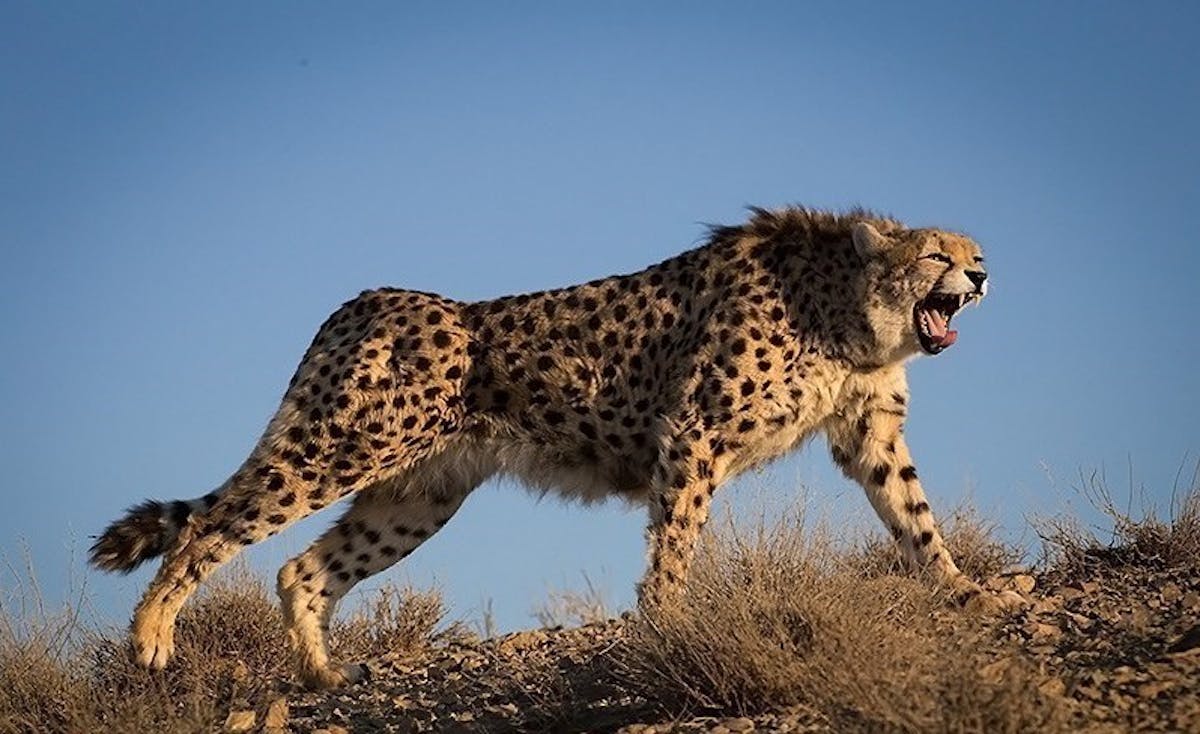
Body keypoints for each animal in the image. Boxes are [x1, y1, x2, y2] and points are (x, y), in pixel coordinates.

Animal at [88, 205, 1017, 686]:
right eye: (936, 255)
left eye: (974, 253)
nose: (979, 278)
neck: (845, 310)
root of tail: (372, 299)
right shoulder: (693, 434)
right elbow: (676, 540)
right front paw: (667, 621)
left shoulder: (869, 435)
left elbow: (915, 516)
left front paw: (965, 591)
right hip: (342, 446)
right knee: (211, 529)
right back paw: (152, 638)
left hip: (417, 494)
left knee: (303, 569)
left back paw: (322, 676)